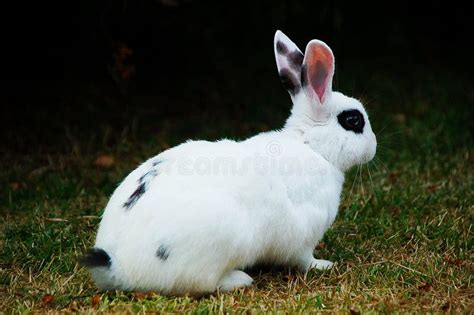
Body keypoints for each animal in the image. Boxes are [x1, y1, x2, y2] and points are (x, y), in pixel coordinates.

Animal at [81, 30, 378, 296]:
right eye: (353, 120)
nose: (374, 147)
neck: (311, 146)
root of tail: (118, 266)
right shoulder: (303, 235)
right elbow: (303, 259)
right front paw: (324, 265)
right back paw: (240, 279)